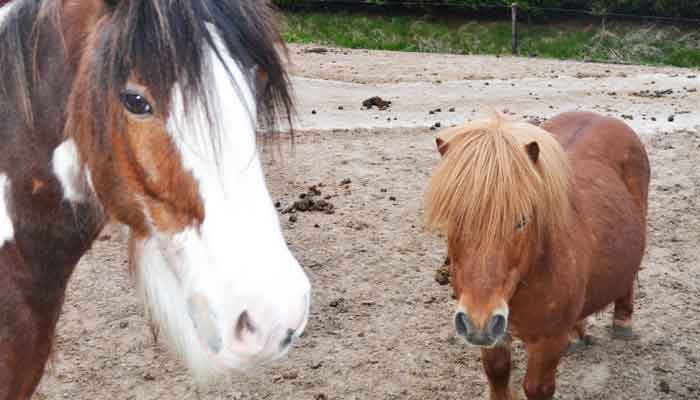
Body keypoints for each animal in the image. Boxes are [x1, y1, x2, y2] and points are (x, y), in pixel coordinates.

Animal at [426, 111, 652, 400]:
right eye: (453, 218)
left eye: (522, 221)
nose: (478, 322)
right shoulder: (494, 335)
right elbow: (497, 374)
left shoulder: (548, 342)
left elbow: (536, 388)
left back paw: (623, 321)